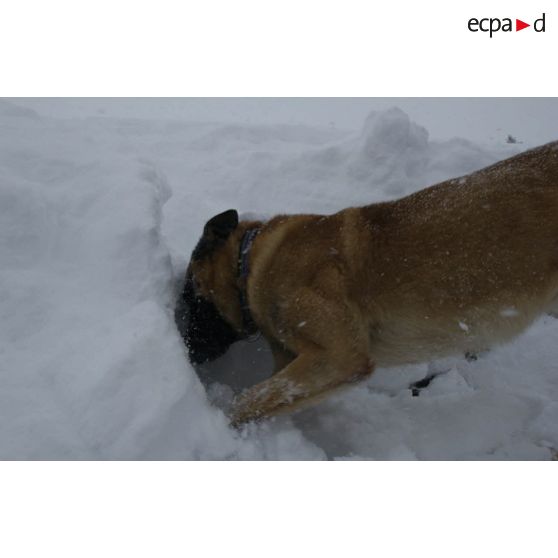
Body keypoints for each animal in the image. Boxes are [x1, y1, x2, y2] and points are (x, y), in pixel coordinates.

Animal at [177, 141, 558, 428]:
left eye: (192, 295)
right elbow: (270, 396)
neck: (250, 262)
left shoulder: (341, 355)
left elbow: (248, 401)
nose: (187, 350)